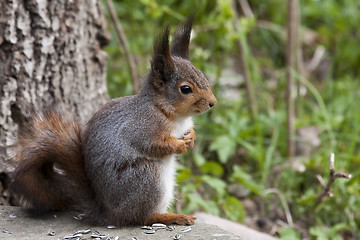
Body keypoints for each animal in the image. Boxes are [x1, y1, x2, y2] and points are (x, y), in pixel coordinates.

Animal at [11, 15, 217, 226]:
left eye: (203, 76)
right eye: (185, 89)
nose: (213, 103)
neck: (171, 113)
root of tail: (107, 212)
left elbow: (189, 132)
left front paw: (191, 138)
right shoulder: (141, 127)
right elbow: (152, 145)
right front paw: (179, 146)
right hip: (148, 177)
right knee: (141, 217)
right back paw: (171, 216)